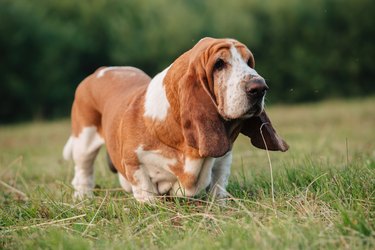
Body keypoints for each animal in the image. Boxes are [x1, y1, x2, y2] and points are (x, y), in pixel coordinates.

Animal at [63, 37, 290, 201]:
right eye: (219, 64)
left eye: (249, 61)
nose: (259, 87)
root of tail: (100, 71)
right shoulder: (134, 162)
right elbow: (146, 190)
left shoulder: (223, 159)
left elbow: (218, 183)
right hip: (84, 141)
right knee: (83, 172)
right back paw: (83, 197)